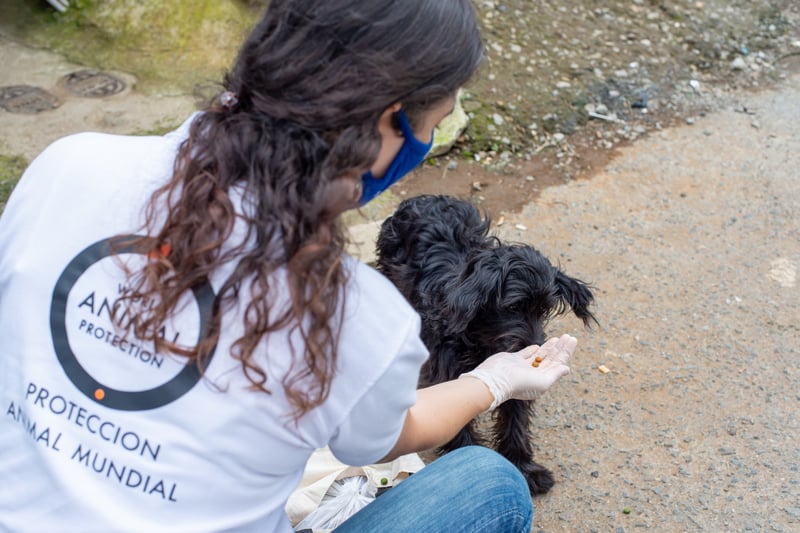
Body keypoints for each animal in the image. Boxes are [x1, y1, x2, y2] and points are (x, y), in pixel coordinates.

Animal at [376, 193, 592, 492]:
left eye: (543, 310)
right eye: (513, 307)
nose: (535, 345)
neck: (481, 337)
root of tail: (423, 198)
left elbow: (515, 418)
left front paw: (524, 466)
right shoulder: (446, 370)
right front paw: (466, 454)